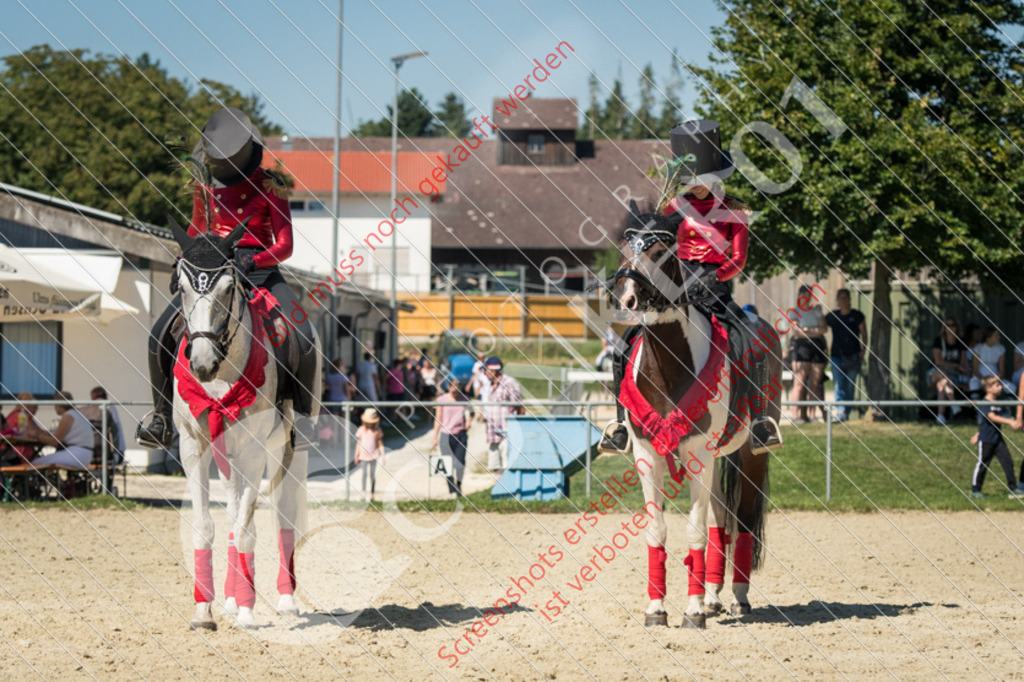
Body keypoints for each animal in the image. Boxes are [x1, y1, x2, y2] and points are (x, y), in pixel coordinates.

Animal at [169, 220, 317, 630]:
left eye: (227, 288)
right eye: (181, 287)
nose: (202, 362)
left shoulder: (253, 450)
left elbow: (247, 528)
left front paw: (249, 613)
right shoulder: (194, 446)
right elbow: (207, 525)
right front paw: (204, 611)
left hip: (287, 451)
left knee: (282, 516)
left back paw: (285, 602)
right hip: (228, 458)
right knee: (235, 511)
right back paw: (231, 602)